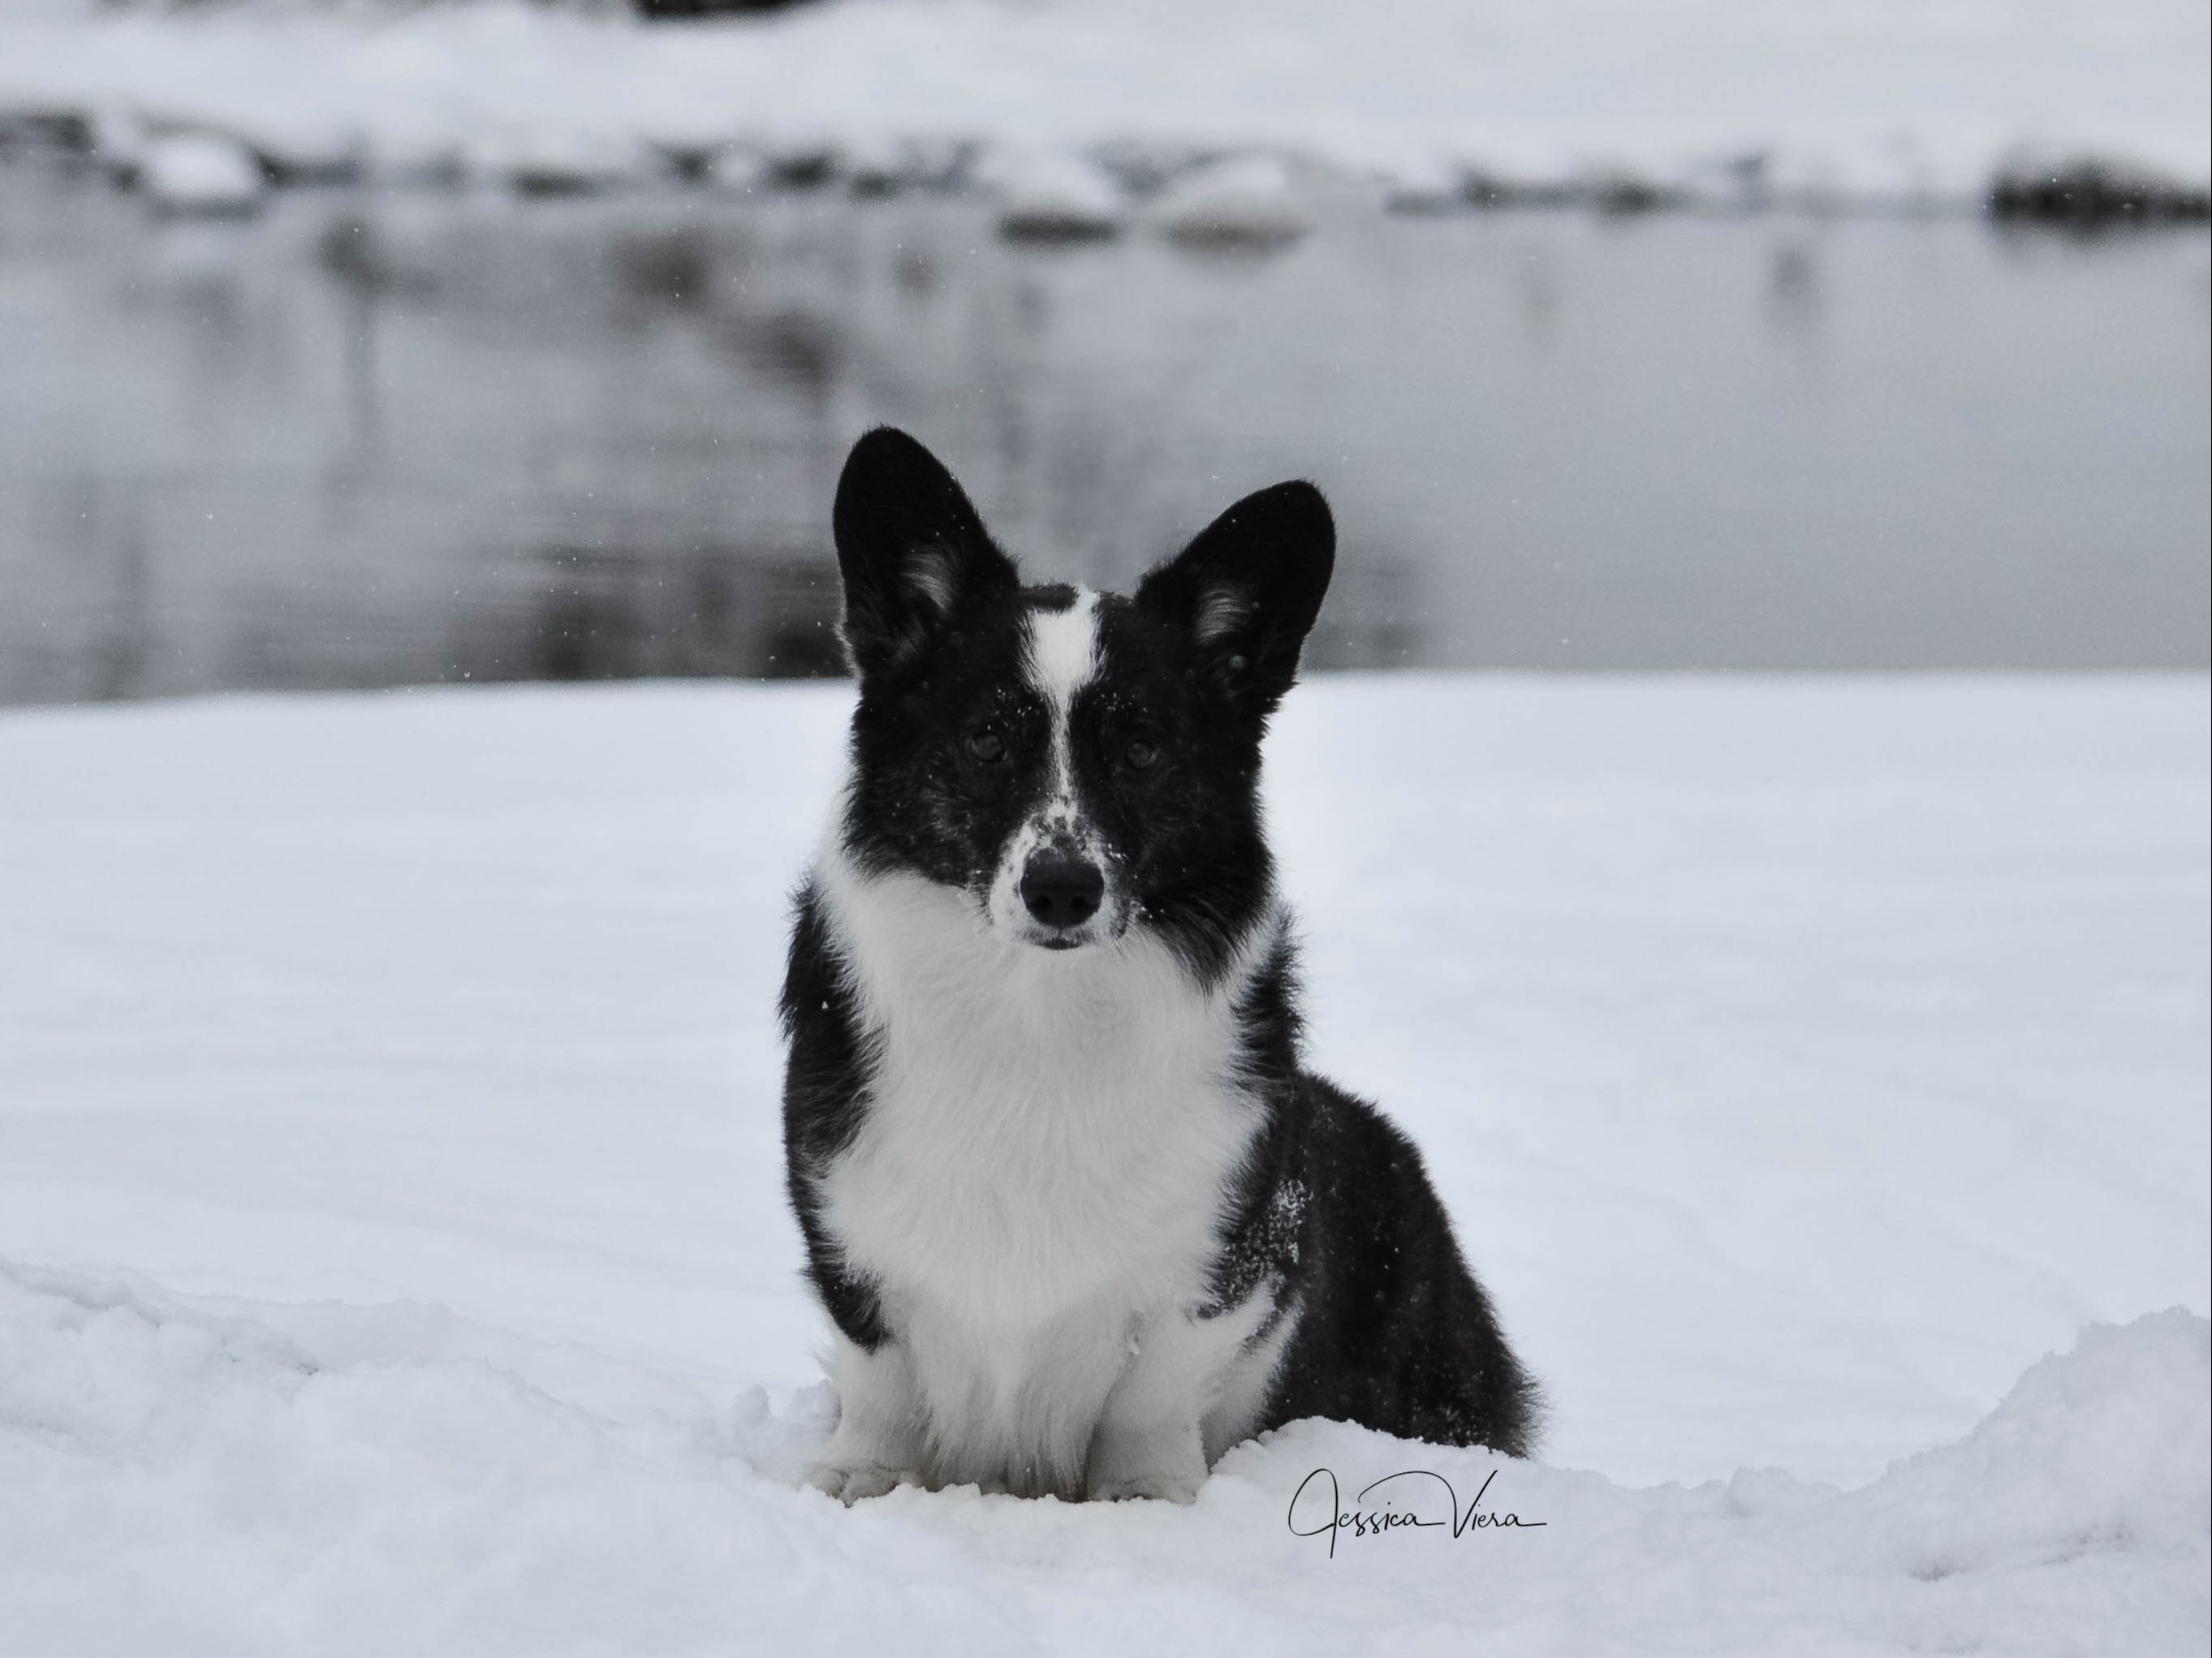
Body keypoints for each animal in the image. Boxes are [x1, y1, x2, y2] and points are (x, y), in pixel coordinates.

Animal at [783, 428, 1539, 1503]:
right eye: (985, 737)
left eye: (1140, 748)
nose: (1062, 891)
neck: (1039, 1013)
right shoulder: (844, 1233)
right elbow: (875, 1365)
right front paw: (862, 1476)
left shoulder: (1220, 1267)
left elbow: (1153, 1390)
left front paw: (1143, 1500)